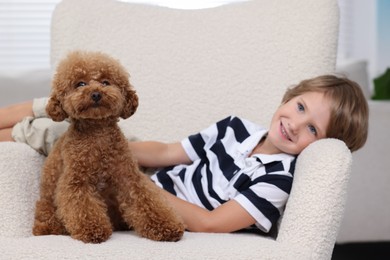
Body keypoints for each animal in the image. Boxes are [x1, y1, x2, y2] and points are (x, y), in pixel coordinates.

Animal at [32, 51, 184, 244]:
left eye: (105, 82)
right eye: (80, 84)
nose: (96, 94)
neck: (98, 135)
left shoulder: (129, 178)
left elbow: (146, 201)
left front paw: (166, 227)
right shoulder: (76, 182)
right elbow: (82, 207)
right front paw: (93, 230)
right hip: (47, 207)